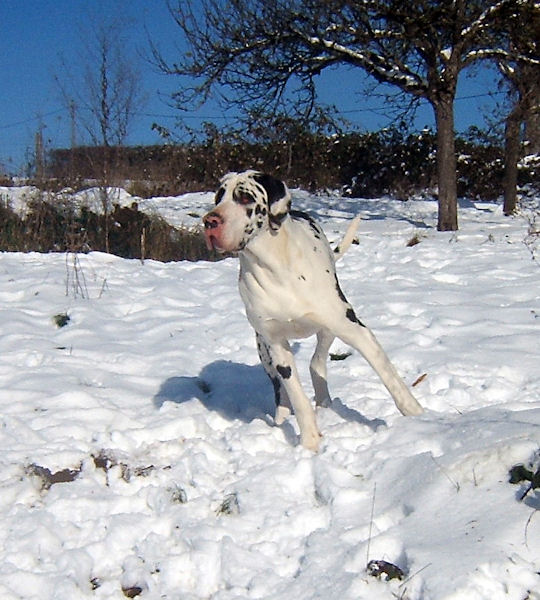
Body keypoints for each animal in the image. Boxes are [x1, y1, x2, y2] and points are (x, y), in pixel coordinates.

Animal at [202, 169, 422, 450]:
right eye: (218, 198)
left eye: (244, 198)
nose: (210, 221)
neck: (277, 268)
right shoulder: (276, 345)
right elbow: (297, 396)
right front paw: (309, 443)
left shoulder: (354, 328)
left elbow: (388, 374)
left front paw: (416, 414)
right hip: (264, 349)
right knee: (283, 388)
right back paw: (283, 416)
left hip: (329, 329)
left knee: (317, 363)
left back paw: (325, 402)